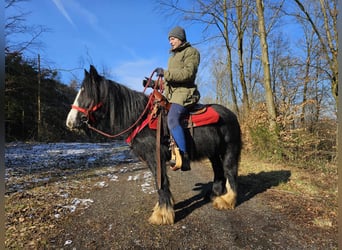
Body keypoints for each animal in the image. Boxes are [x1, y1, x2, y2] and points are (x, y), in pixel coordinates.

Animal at [65, 64, 242, 225]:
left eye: (86, 93)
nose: (70, 122)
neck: (140, 119)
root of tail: (232, 114)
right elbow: (159, 183)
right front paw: (162, 209)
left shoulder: (155, 158)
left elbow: (161, 182)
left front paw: (162, 215)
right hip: (213, 154)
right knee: (218, 171)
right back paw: (216, 195)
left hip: (230, 150)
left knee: (230, 172)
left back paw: (227, 200)